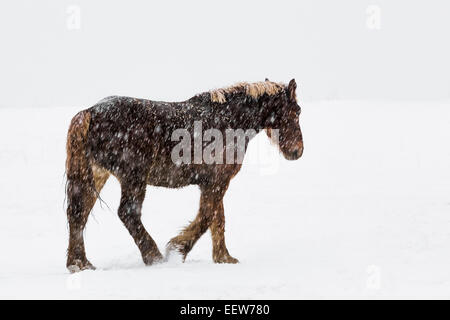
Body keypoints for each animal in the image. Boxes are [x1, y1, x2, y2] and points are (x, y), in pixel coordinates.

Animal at [65, 79, 304, 272]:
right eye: (298, 110)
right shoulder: (216, 182)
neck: (228, 121)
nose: (297, 151)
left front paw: (223, 258)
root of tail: (90, 112)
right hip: (134, 177)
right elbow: (206, 217)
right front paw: (178, 249)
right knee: (127, 213)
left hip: (98, 175)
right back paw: (154, 257)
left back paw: (79, 263)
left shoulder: (213, 183)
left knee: (78, 213)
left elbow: (217, 219)